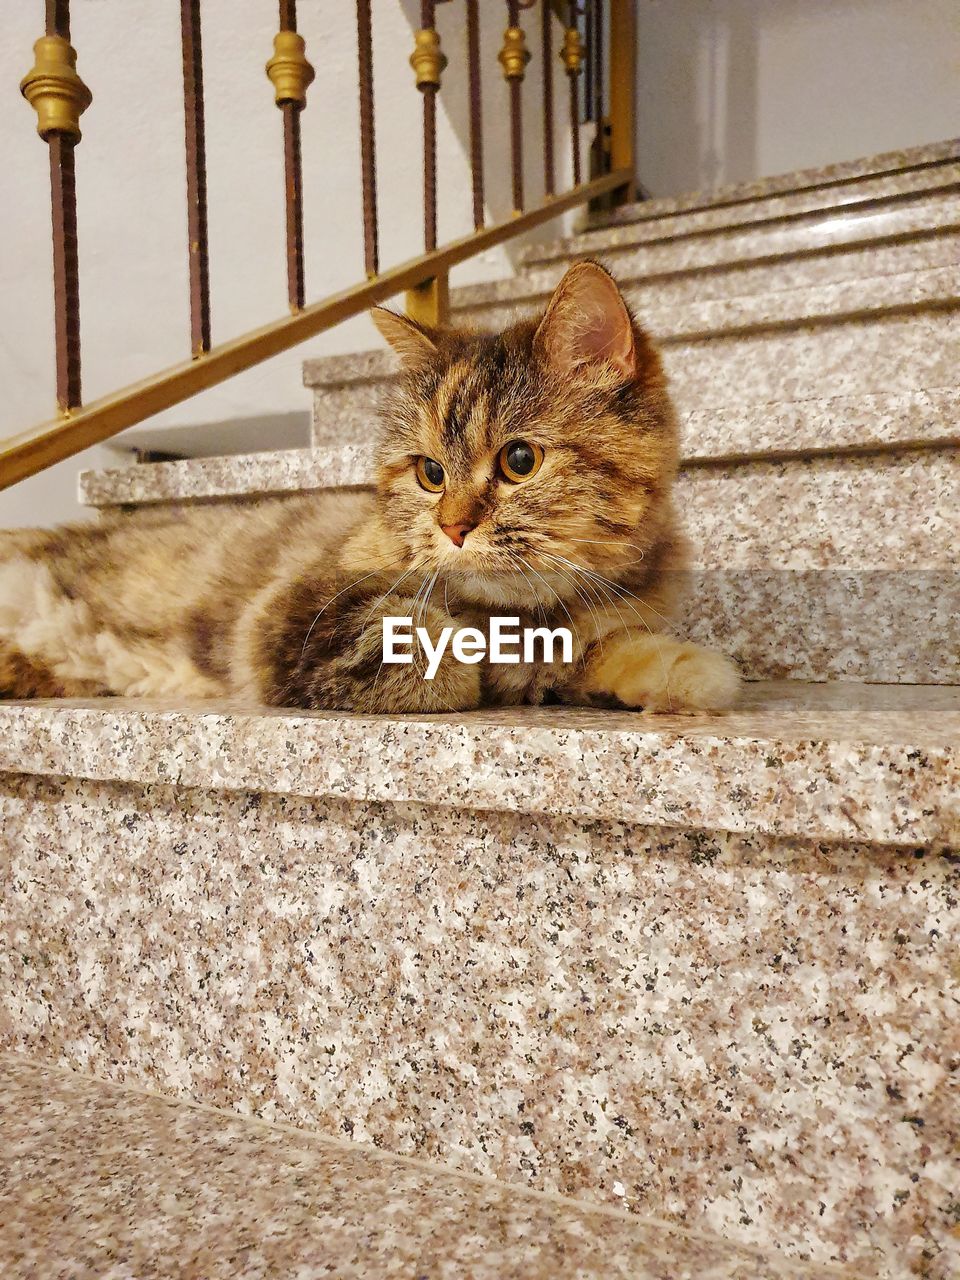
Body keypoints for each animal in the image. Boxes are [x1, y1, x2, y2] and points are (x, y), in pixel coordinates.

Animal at [0, 261, 742, 716]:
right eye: (430, 473)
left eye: (519, 460)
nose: (453, 527)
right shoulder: (295, 613)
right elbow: (447, 653)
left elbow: (618, 648)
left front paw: (688, 672)